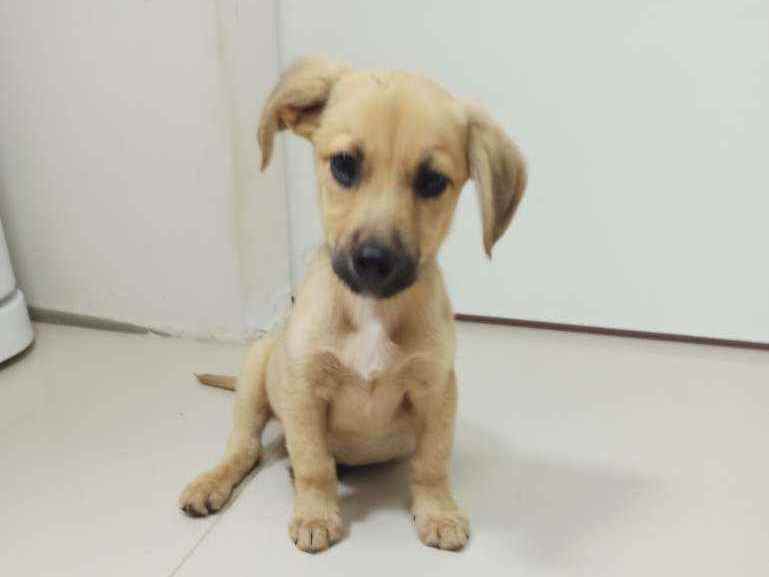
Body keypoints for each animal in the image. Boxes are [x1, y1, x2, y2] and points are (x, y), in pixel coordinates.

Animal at [178, 56, 527, 553]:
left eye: (433, 182)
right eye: (344, 165)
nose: (374, 261)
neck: (371, 312)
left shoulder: (436, 391)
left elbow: (432, 463)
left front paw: (438, 511)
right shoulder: (305, 391)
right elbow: (314, 463)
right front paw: (315, 513)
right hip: (255, 375)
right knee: (245, 448)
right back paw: (212, 482)